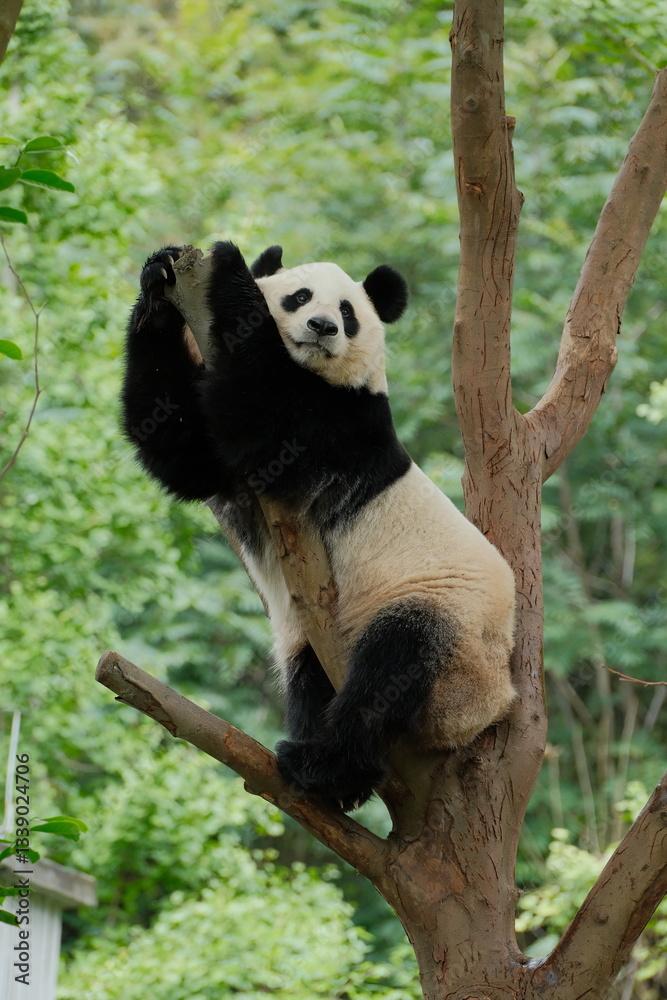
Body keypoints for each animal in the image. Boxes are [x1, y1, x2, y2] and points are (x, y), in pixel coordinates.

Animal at [122, 240, 516, 810]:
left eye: (348, 312)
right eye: (301, 296)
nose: (323, 326)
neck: (314, 372)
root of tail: (483, 711)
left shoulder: (343, 424)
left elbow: (266, 418)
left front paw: (230, 264)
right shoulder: (223, 464)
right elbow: (178, 447)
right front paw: (159, 280)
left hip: (450, 617)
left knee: (391, 668)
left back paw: (326, 765)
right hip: (330, 639)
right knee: (312, 678)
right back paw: (335, 781)